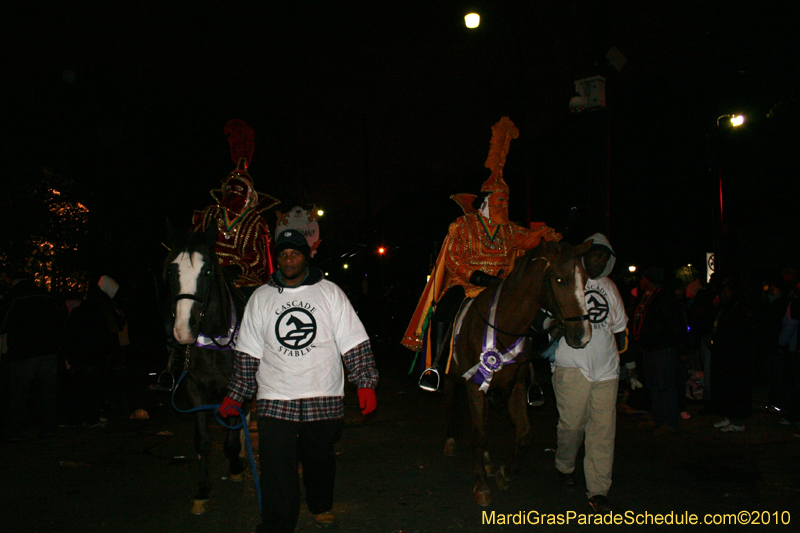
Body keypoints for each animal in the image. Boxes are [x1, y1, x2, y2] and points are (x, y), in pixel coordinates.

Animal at [163, 223, 248, 512]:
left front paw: (236, 465)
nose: (182, 332)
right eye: (170, 270)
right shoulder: (194, 388)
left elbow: (231, 439)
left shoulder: (237, 388)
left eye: (208, 271)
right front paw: (202, 491)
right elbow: (202, 441)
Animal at [444, 239, 592, 504]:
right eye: (559, 280)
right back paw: (451, 440)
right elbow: (478, 435)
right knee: (451, 401)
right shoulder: (474, 384)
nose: (582, 335)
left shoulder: (516, 384)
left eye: (585, 280)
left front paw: (505, 473)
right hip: (453, 376)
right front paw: (482, 485)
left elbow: (523, 434)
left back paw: (488, 460)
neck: (504, 325)